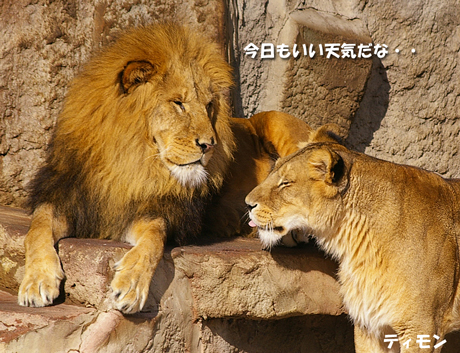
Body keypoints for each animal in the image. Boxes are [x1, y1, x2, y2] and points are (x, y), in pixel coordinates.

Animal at [18, 22, 320, 314]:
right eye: (178, 103)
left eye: (208, 106)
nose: (209, 144)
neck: (130, 162)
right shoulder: (66, 198)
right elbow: (37, 228)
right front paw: (37, 281)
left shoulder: (158, 210)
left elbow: (153, 240)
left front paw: (130, 285)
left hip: (282, 123)